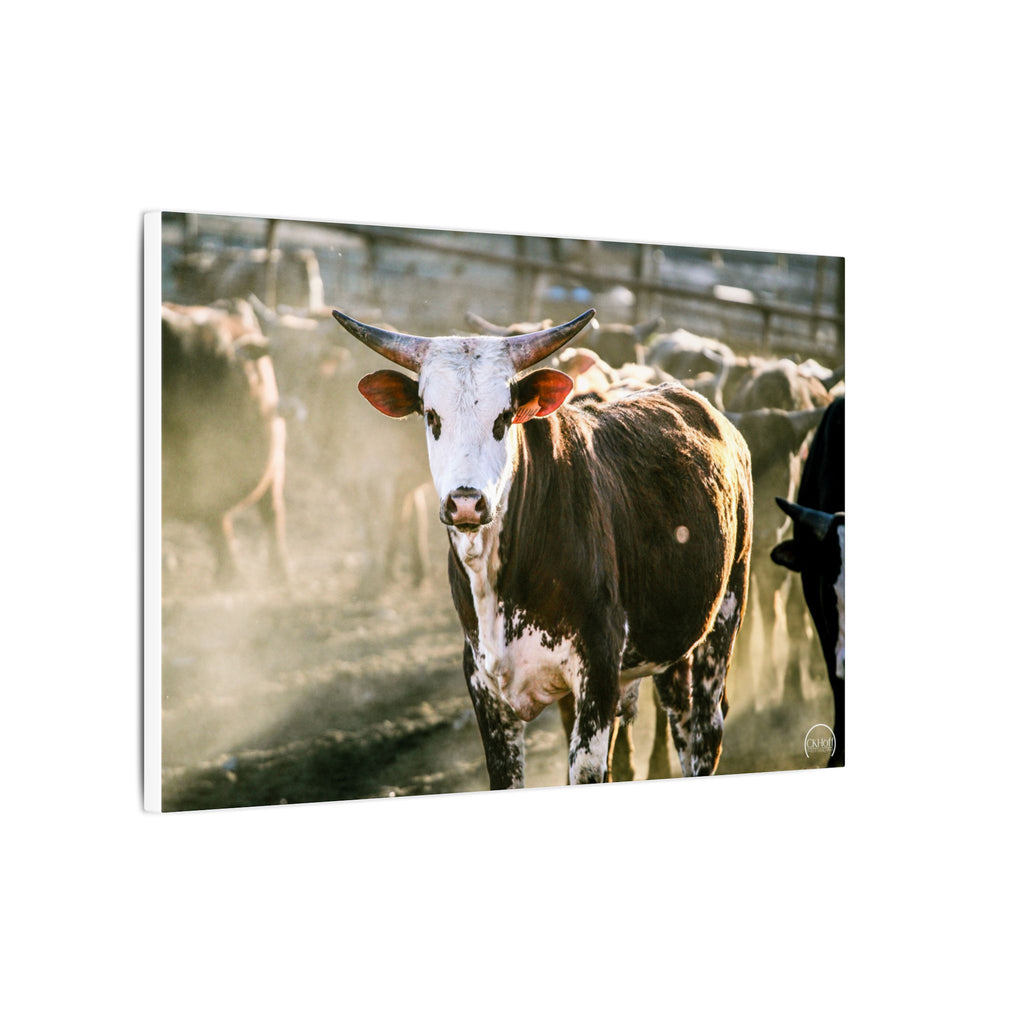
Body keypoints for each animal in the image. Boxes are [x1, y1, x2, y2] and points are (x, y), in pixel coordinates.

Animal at [332, 308, 753, 787]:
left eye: (503, 417)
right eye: (432, 416)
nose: (465, 501)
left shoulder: (598, 672)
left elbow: (586, 769)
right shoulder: (484, 684)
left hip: (723, 618)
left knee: (705, 731)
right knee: (679, 717)